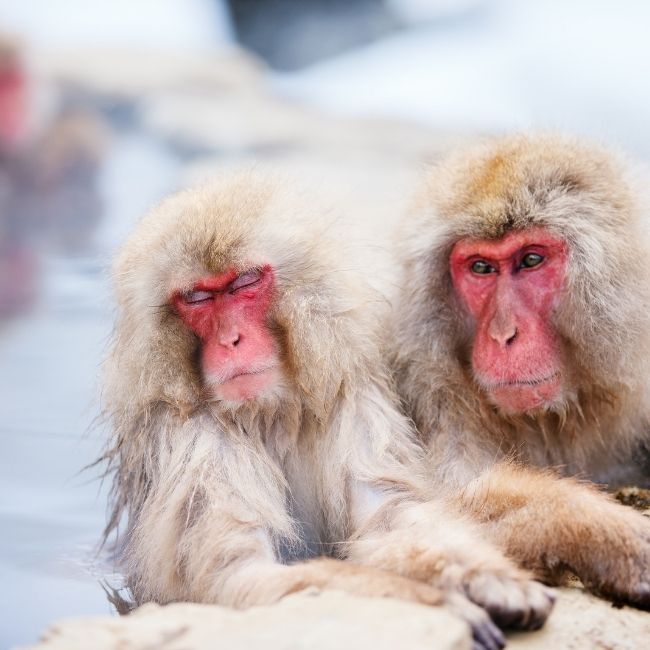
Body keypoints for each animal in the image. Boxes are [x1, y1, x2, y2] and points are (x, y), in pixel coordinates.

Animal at [100, 173, 552, 648]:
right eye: (198, 298)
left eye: (244, 283)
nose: (231, 341)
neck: (265, 413)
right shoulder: (194, 442)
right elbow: (238, 578)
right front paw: (439, 604)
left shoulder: (349, 396)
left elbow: (389, 517)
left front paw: (486, 577)